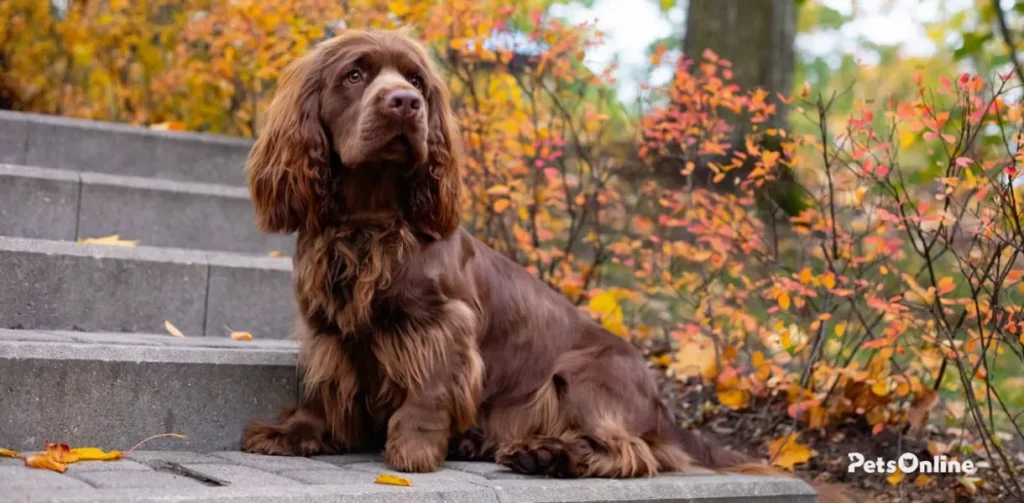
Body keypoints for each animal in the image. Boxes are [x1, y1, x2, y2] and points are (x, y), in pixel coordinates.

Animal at [237, 28, 839, 499]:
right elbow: (322, 389)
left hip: (578, 376)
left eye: (417, 81)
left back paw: (548, 456)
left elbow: (428, 389)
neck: (369, 218)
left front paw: (414, 447)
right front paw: (294, 434)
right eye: (356, 74)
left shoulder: (441, 322)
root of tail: (663, 405)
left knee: (634, 453)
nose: (405, 103)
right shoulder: (325, 327)